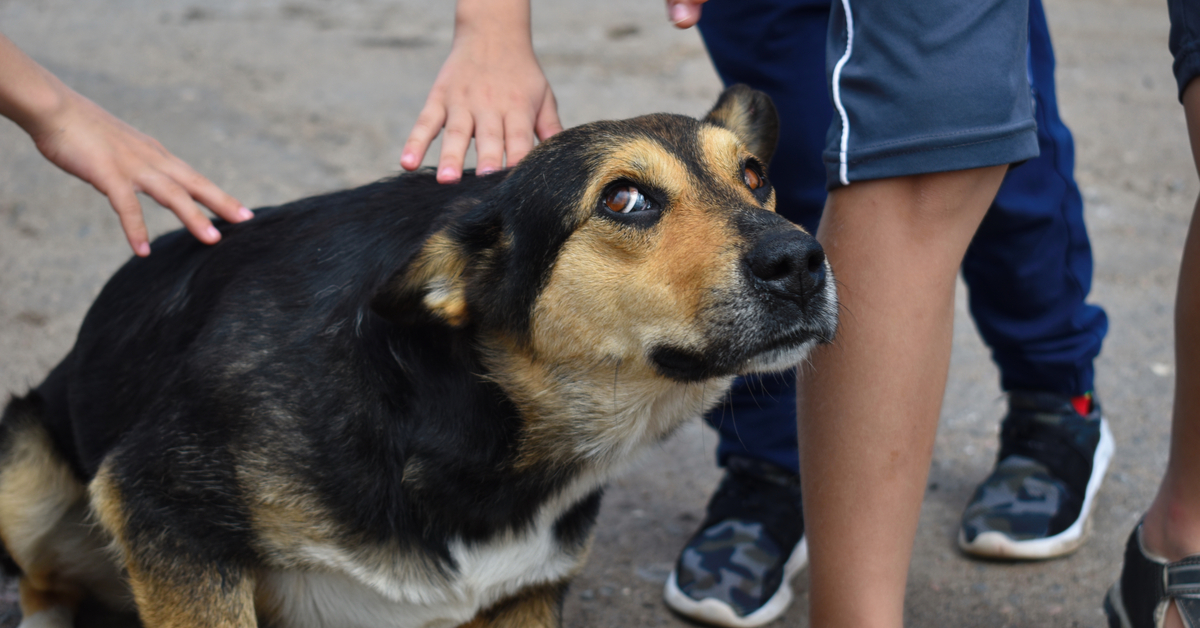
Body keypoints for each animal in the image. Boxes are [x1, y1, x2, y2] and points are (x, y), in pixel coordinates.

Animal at [2, 84, 835, 628]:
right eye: (624, 200)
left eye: (754, 176)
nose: (802, 260)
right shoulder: (160, 509)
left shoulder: (525, 592)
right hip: (23, 463)